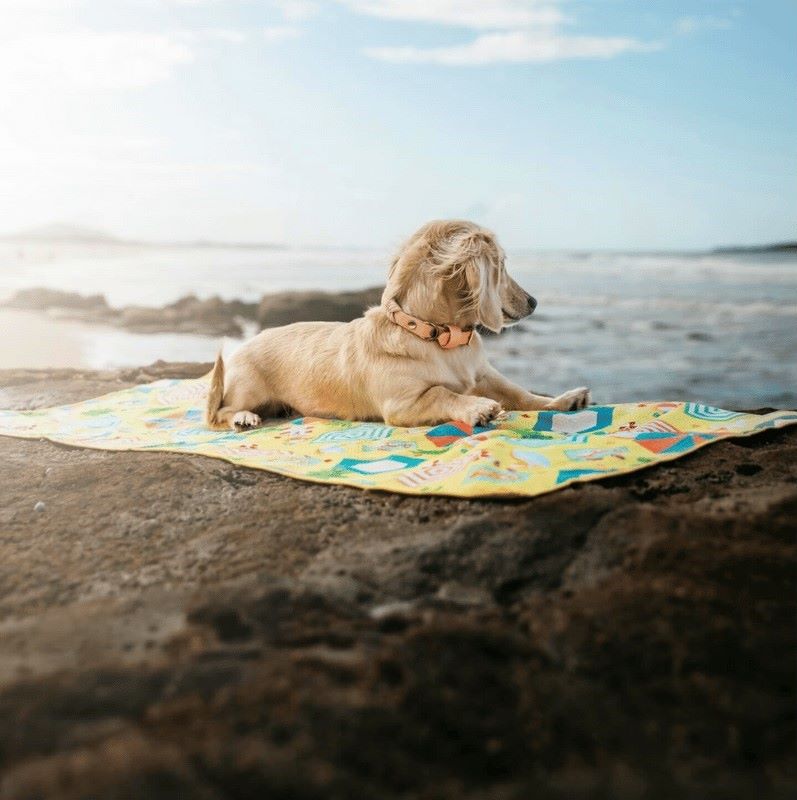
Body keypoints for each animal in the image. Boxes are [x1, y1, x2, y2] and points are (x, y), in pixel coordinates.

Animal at [207, 219, 592, 432]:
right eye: (502, 266)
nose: (534, 302)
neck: (441, 339)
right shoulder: (403, 405)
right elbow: (443, 393)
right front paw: (476, 407)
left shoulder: (486, 375)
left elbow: (521, 394)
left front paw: (562, 400)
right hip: (247, 389)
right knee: (219, 411)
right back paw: (244, 418)